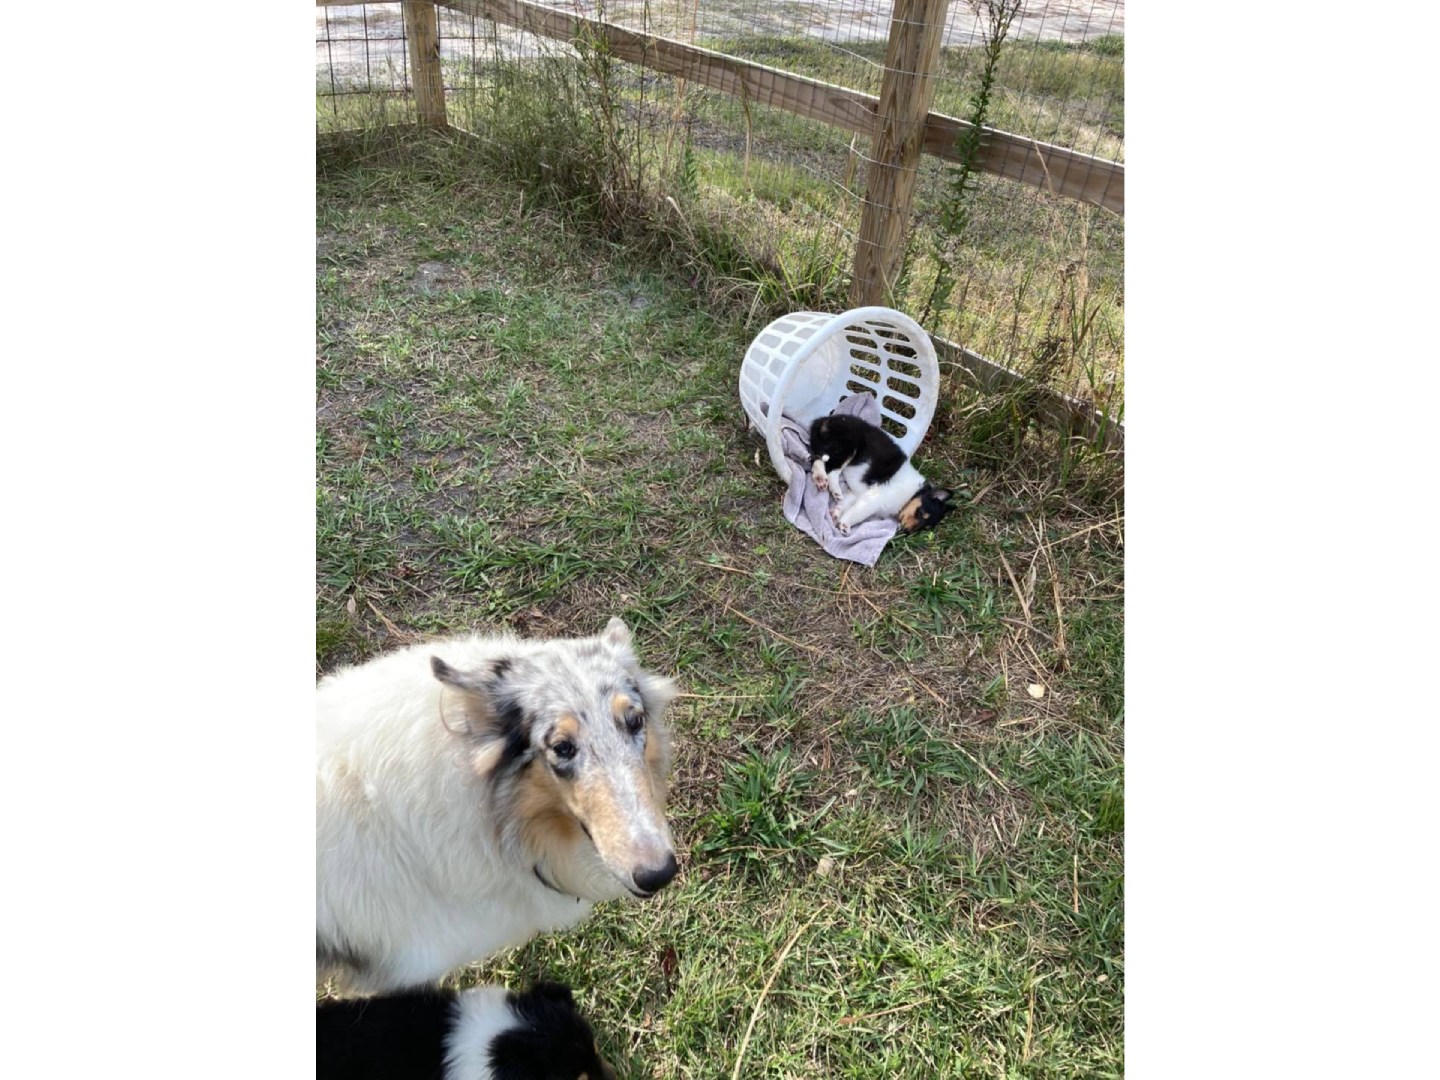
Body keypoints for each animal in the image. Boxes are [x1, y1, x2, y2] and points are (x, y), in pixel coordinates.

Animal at [812, 411, 956, 535]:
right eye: (921, 513)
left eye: (925, 527)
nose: (906, 532)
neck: (912, 494)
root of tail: (825, 419)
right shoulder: (875, 498)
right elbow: (859, 513)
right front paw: (845, 525)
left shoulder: (858, 494)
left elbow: (845, 504)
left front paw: (835, 513)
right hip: (846, 446)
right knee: (830, 469)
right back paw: (830, 486)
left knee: (816, 458)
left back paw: (823, 481)